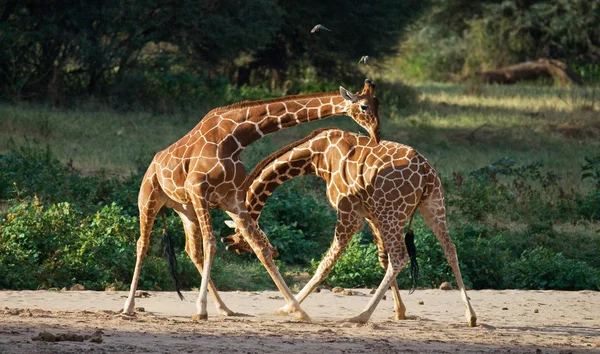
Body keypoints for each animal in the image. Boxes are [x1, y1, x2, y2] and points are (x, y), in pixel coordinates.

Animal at [124, 79, 382, 322]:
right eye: (364, 106)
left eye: (378, 104)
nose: (376, 135)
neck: (234, 138)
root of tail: (153, 163)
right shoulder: (198, 190)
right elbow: (212, 243)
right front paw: (200, 310)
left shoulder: (232, 200)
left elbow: (260, 249)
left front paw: (298, 311)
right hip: (149, 198)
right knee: (142, 244)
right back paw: (128, 307)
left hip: (184, 208)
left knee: (192, 250)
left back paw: (225, 309)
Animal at [220, 127, 478, 326]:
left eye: (242, 238)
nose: (273, 252)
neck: (316, 156)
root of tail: (425, 172)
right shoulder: (371, 214)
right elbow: (381, 258)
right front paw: (400, 311)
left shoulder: (349, 213)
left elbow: (325, 263)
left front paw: (288, 309)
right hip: (431, 204)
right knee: (449, 248)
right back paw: (471, 316)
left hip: (394, 212)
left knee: (401, 256)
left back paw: (360, 316)